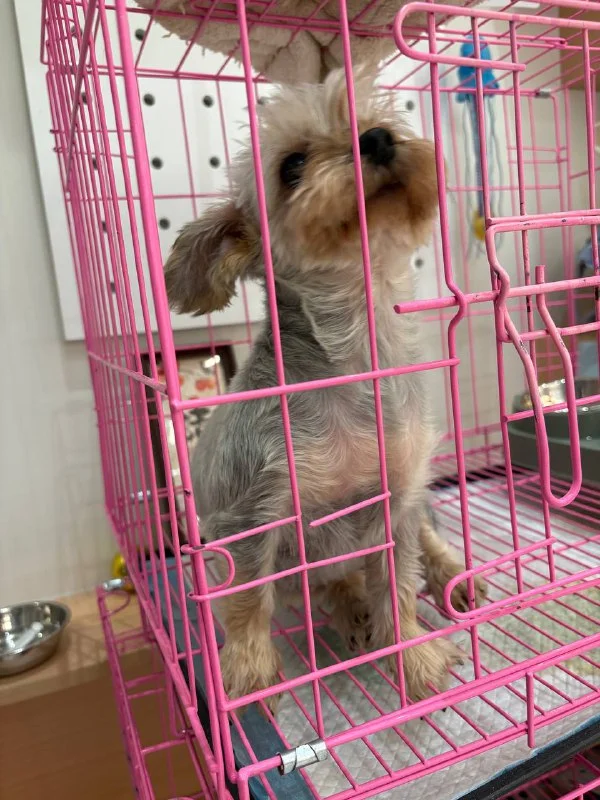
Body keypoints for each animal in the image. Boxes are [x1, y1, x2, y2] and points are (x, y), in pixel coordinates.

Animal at [164, 66, 487, 711]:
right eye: (291, 165)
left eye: (380, 119)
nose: (378, 140)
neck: (358, 357)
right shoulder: (249, 514)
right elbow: (247, 603)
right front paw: (249, 673)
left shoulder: (398, 500)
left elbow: (400, 586)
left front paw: (413, 656)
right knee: (324, 583)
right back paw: (348, 606)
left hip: (421, 503)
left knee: (428, 542)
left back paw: (450, 578)